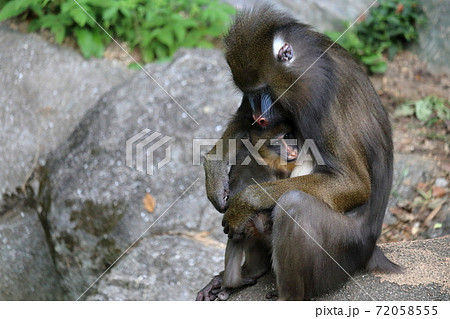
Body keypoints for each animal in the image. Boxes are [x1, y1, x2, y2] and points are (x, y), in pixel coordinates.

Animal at [199, 3, 400, 302]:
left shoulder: (315, 94)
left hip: (342, 253)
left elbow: (352, 183)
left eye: (264, 90)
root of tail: (370, 251)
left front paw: (243, 203)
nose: (259, 116)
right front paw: (215, 173)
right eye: (250, 93)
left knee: (295, 204)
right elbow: (242, 126)